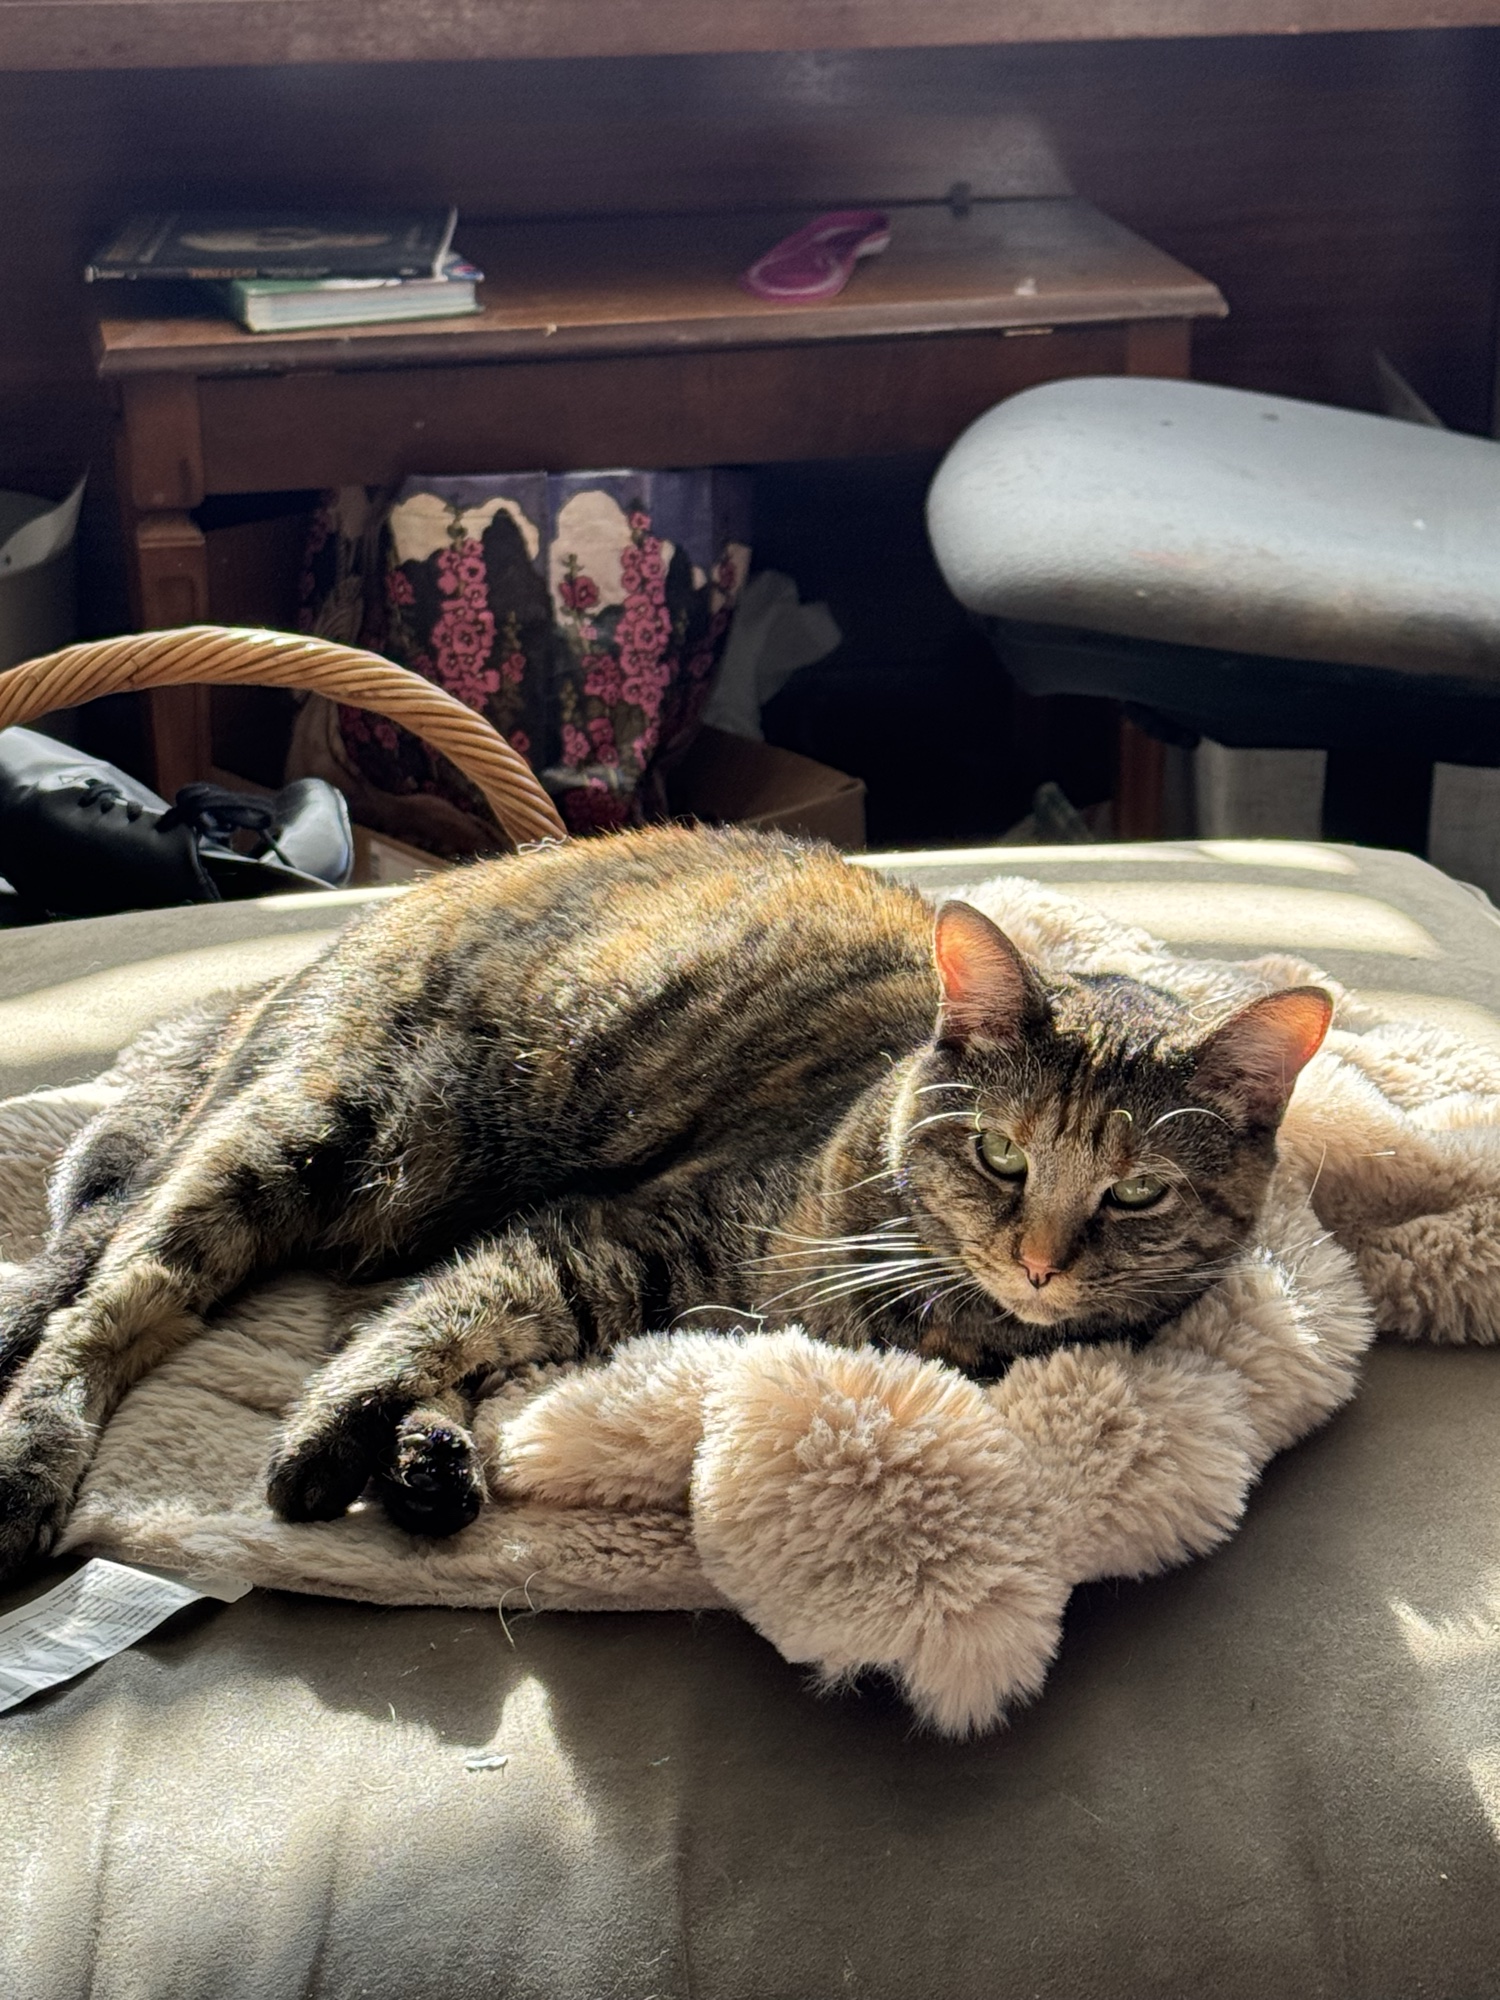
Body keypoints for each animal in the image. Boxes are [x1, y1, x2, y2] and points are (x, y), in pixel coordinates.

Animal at [0, 825, 1330, 1579]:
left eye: (1139, 1191)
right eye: (1001, 1154)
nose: (1042, 1259)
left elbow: (446, 1316)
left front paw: (385, 1434)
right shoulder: (626, 1231)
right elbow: (435, 1319)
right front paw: (321, 1443)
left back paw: (431, 1463)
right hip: (300, 1133)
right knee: (105, 1302)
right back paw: (32, 1456)